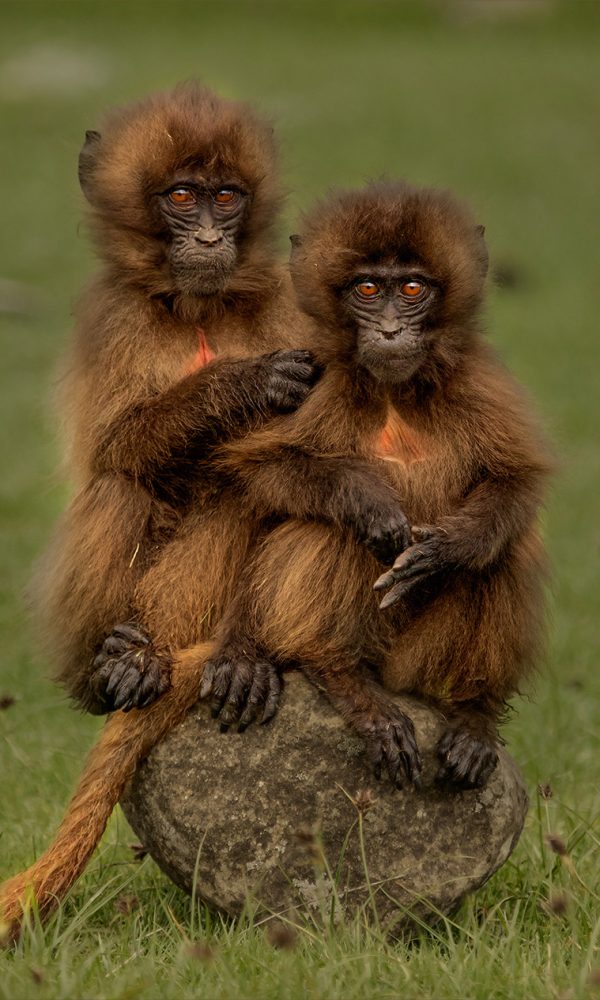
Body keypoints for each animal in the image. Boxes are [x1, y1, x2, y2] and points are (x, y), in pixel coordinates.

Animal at [32, 82, 320, 717]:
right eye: (183, 197)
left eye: (227, 197)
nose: (209, 239)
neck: (198, 309)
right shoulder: (117, 315)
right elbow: (115, 447)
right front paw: (242, 383)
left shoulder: (287, 301)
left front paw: (244, 656)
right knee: (119, 488)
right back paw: (116, 663)